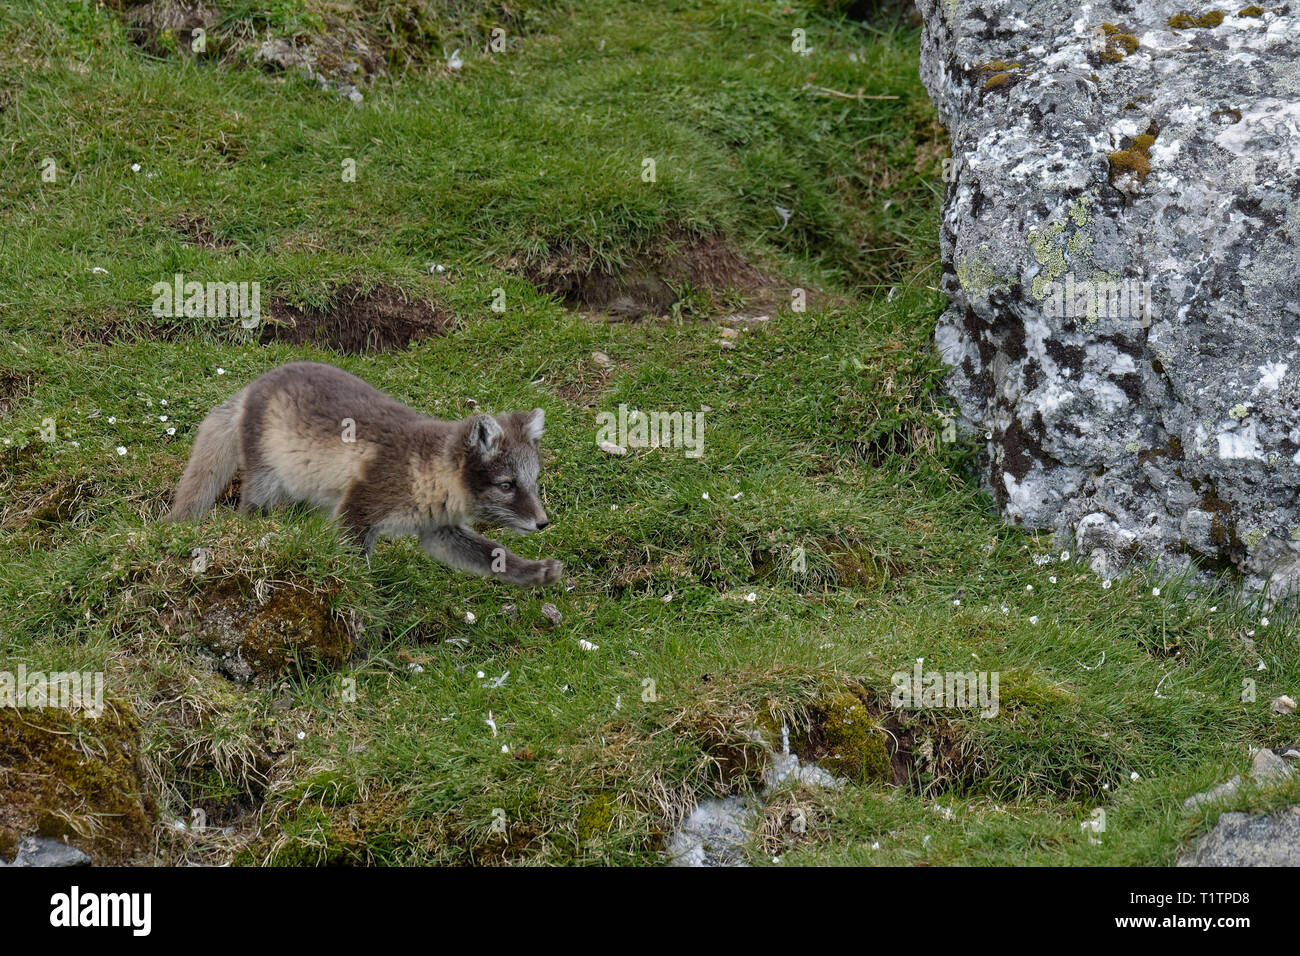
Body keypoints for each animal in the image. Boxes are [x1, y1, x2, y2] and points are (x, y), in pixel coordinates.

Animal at [166, 361, 562, 587]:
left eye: (533, 482)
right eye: (506, 485)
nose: (544, 523)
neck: (426, 471)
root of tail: (254, 385)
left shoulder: (439, 531)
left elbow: (493, 554)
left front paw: (536, 573)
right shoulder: (358, 509)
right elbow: (352, 561)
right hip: (265, 480)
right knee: (249, 511)